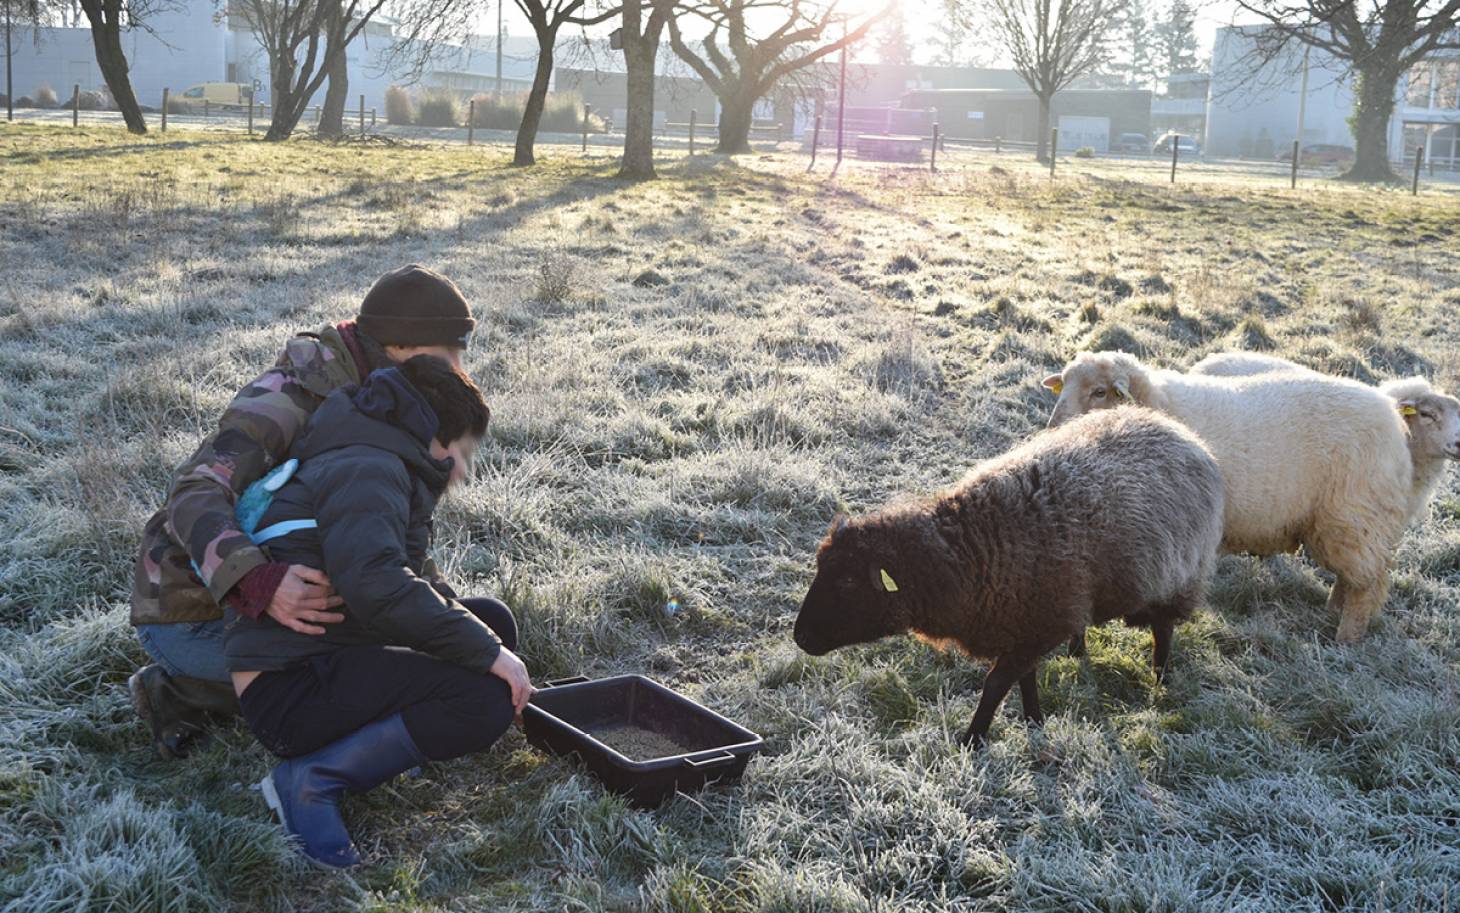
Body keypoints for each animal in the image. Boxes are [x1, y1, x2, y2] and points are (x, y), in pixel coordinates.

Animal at [794, 409, 1226, 747]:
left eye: (848, 582)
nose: (800, 637)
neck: (973, 550)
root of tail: (1181, 432)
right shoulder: (1022, 623)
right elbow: (1025, 680)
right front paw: (1034, 721)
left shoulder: (1036, 624)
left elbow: (996, 684)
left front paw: (972, 740)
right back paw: (1079, 650)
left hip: (1179, 578)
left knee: (1163, 630)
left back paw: (1160, 678)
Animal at [1051, 349, 1413, 639]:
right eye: (1063, 385)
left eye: (1099, 392)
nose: (1054, 427)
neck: (1160, 404)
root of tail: (1392, 420)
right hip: (1343, 523)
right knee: (1351, 577)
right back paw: (1332, 610)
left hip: (1354, 516)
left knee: (1366, 585)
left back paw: (1346, 636)